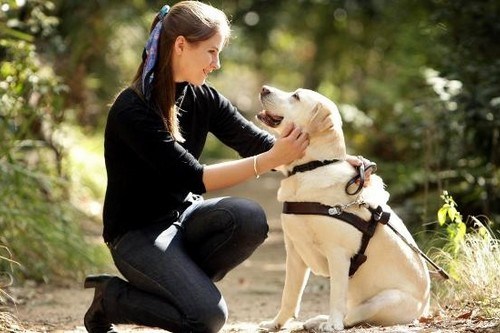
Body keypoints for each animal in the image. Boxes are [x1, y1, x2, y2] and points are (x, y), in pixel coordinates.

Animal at [258, 85, 430, 330]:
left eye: (296, 96)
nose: (264, 88)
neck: (311, 167)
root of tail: (425, 308)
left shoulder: (338, 254)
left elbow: (335, 296)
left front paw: (333, 324)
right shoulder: (294, 251)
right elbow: (289, 295)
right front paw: (276, 323)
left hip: (384, 300)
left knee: (352, 317)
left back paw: (326, 322)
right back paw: (317, 320)